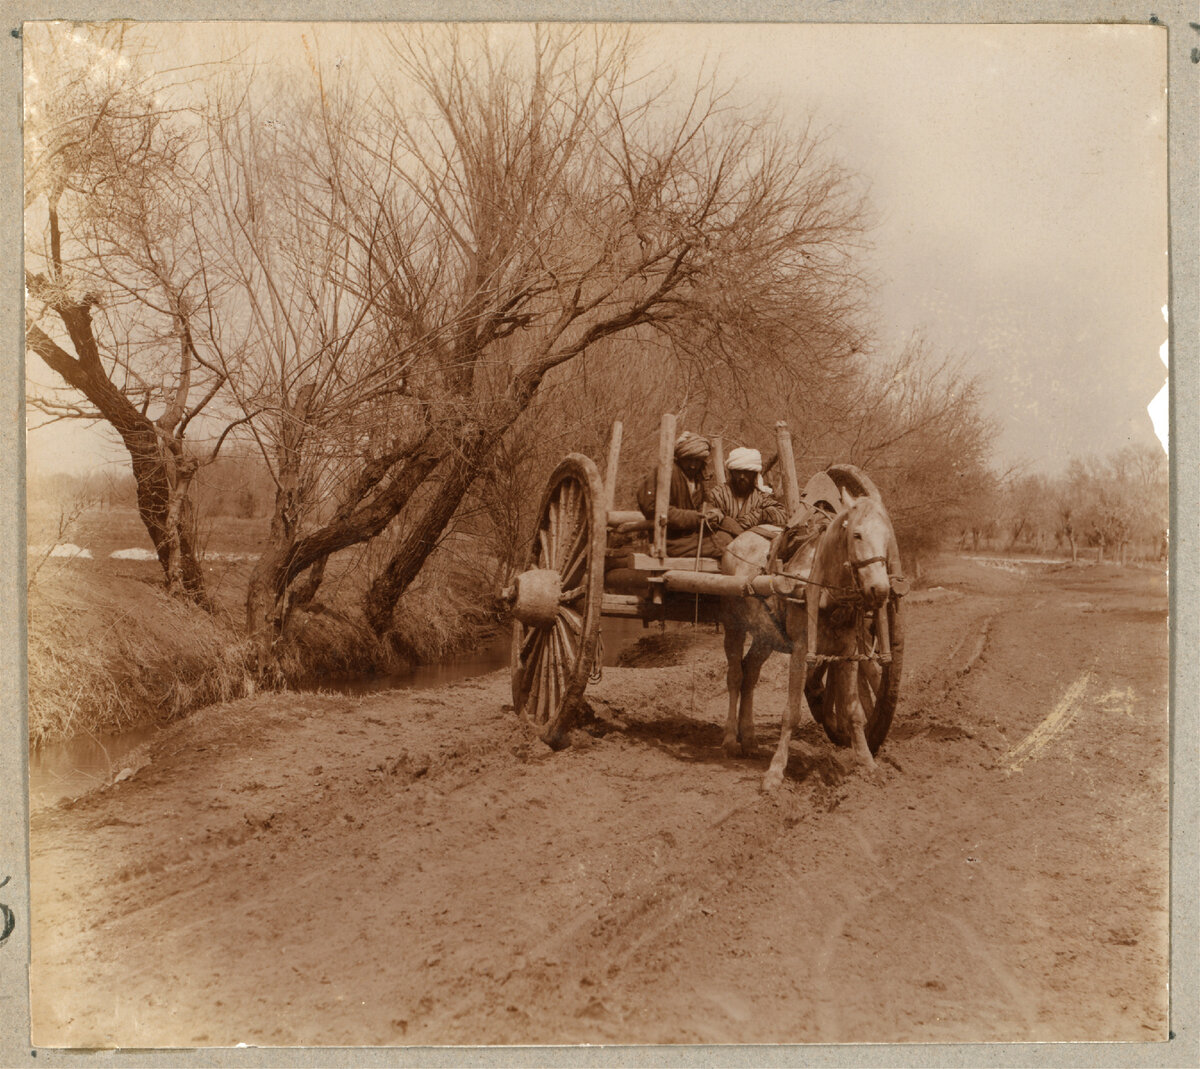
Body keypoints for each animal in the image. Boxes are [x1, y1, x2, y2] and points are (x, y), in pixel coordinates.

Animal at [715, 479, 897, 791]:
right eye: (857, 534)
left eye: (886, 537)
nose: (880, 590)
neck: (823, 588)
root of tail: (735, 543)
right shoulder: (801, 651)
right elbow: (791, 713)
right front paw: (775, 772)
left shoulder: (848, 653)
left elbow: (854, 711)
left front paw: (867, 764)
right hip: (734, 627)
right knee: (736, 677)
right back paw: (729, 740)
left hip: (765, 636)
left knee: (750, 673)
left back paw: (748, 738)